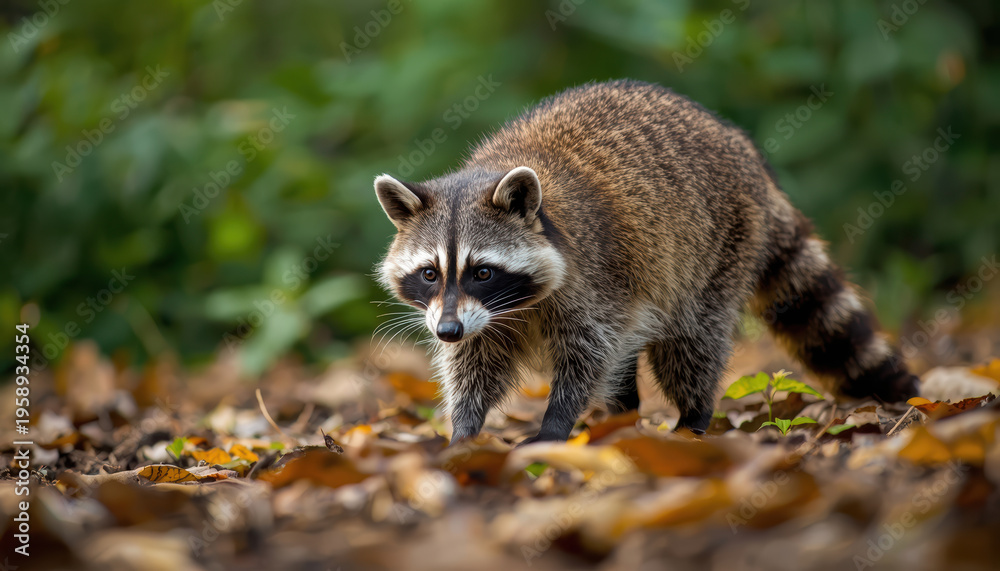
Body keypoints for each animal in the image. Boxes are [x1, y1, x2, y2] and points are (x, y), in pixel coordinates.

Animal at [374, 80, 918, 443]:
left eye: (482, 271)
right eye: (429, 273)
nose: (445, 331)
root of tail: (746, 152)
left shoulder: (593, 278)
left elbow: (588, 355)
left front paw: (555, 422)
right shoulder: (473, 318)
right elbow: (474, 365)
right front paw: (464, 430)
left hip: (716, 250)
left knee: (691, 342)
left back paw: (693, 416)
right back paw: (625, 416)